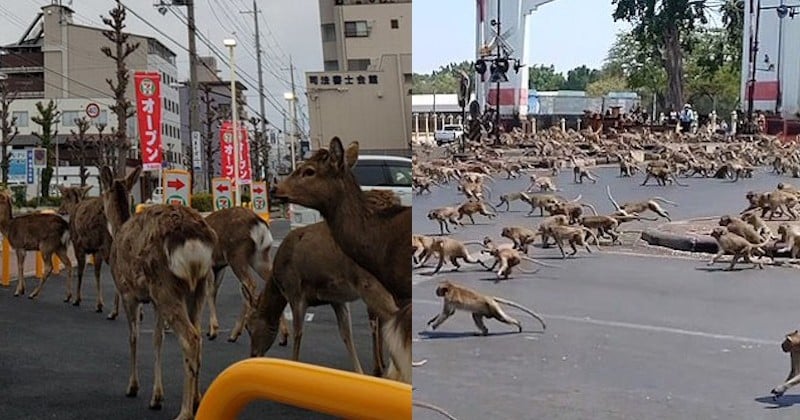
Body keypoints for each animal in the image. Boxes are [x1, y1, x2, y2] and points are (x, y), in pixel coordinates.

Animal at [101, 167, 217, 420]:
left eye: (102, 192)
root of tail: (193, 237)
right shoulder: (153, 301)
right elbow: (157, 338)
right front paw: (156, 397)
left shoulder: (128, 292)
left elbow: (133, 336)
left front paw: (133, 387)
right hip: (198, 286)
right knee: (199, 335)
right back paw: (197, 399)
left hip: (165, 285)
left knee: (190, 338)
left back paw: (184, 412)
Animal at [424, 278, 552, 334]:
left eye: (438, 289)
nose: (436, 292)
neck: (450, 288)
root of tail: (488, 297)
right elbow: (449, 313)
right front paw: (431, 321)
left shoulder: (449, 298)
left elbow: (447, 313)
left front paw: (432, 327)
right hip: (484, 308)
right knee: (476, 316)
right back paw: (484, 332)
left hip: (492, 307)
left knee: (502, 318)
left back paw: (518, 324)